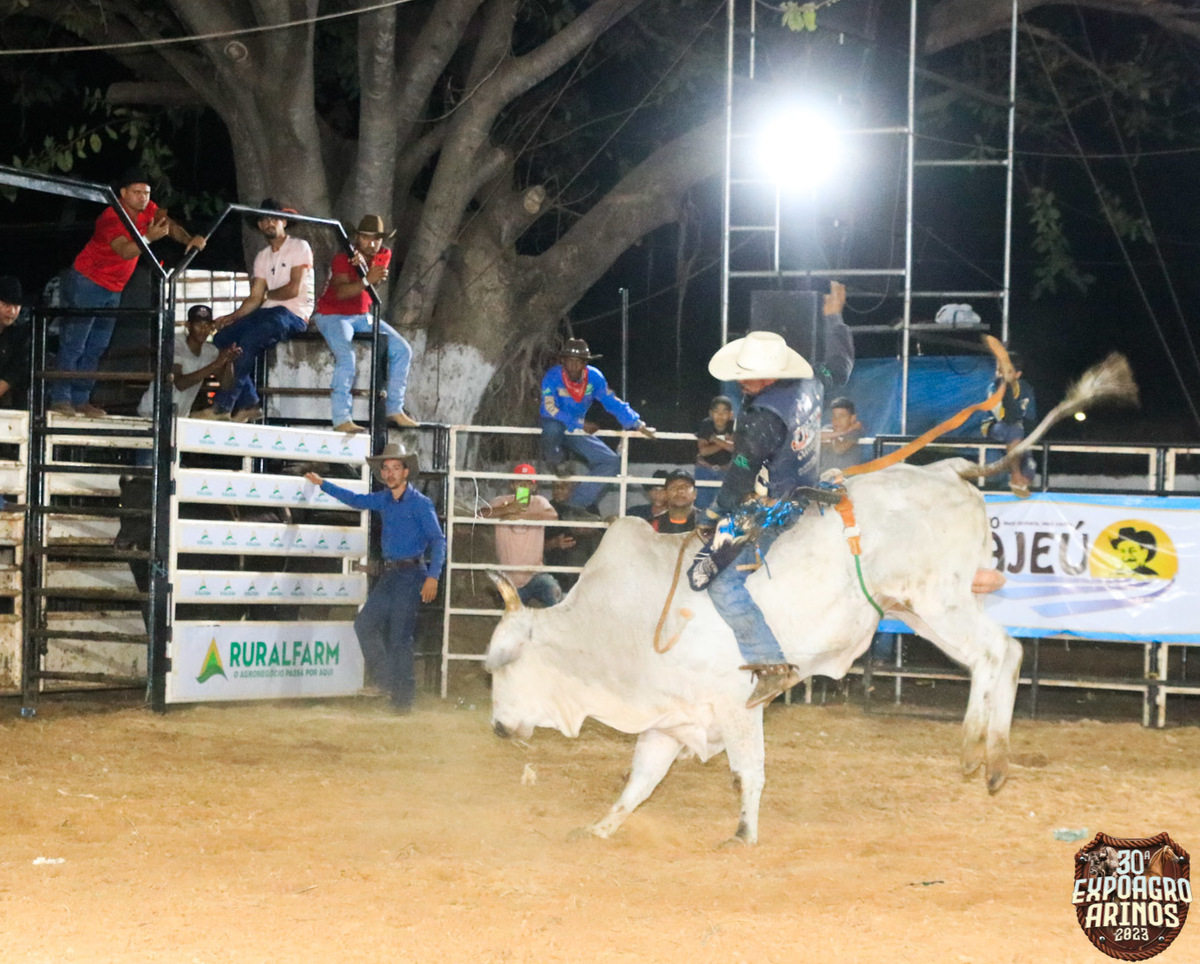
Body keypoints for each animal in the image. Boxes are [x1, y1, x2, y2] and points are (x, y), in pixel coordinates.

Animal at [486, 458, 1024, 845]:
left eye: (504, 665)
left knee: (997, 651)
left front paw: (744, 833)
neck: (618, 621)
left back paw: (978, 750)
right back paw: (992, 761)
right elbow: (641, 781)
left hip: (939, 600)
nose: (497, 727)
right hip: (919, 610)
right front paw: (600, 827)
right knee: (1004, 654)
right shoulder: (669, 717)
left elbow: (748, 769)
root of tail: (944, 470)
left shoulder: (734, 704)